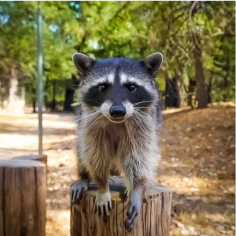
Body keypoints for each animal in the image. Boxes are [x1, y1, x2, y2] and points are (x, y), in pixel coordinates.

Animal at [70, 52, 162, 232]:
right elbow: (95, 154)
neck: (117, 122)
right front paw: (102, 186)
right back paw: (84, 176)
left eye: (132, 87)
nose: (118, 111)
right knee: (81, 149)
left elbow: (139, 157)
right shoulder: (89, 124)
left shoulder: (144, 126)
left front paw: (137, 189)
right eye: (102, 87)